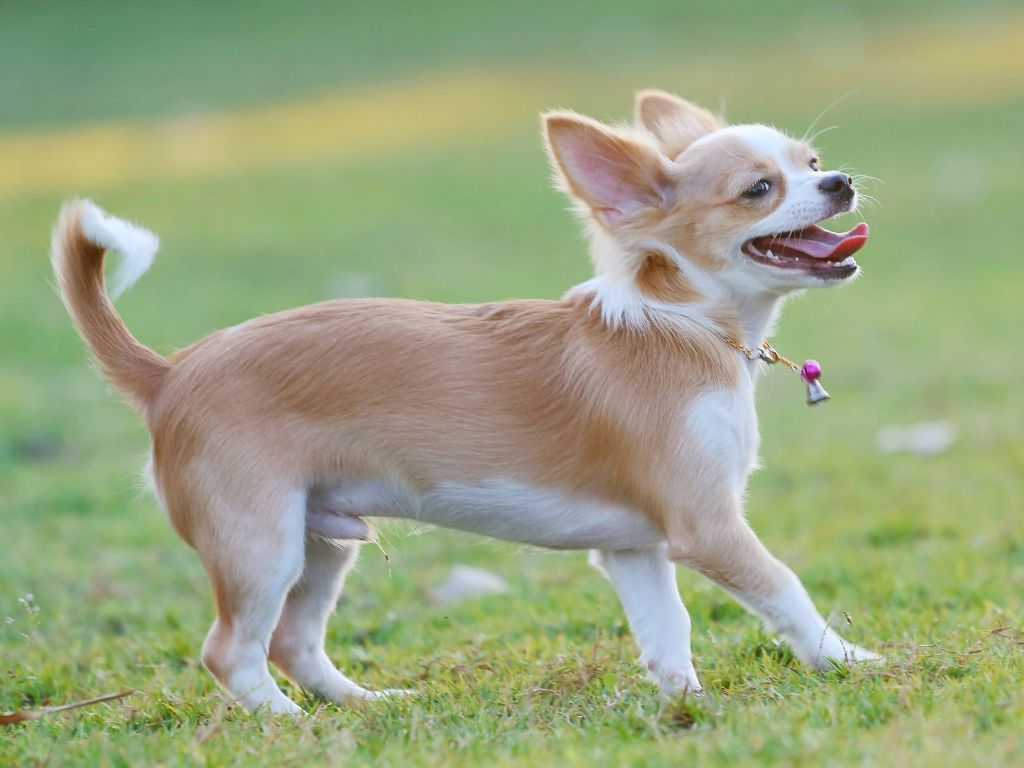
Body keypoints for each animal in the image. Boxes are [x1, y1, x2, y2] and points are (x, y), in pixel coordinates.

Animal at [51, 90, 876, 716]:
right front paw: (849, 657)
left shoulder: (636, 547)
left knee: (291, 641)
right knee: (230, 652)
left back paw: (362, 705)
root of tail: (168, 373)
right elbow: (786, 590)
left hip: (320, 541)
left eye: (808, 163)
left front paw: (686, 706)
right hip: (260, 543)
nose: (840, 181)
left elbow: (666, 633)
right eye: (759, 190)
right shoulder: (706, 528)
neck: (687, 326)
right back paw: (288, 722)